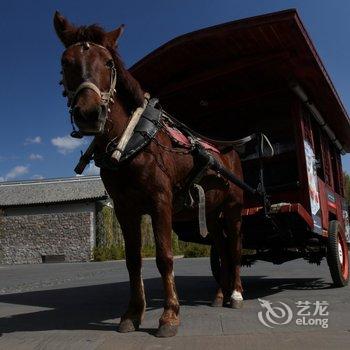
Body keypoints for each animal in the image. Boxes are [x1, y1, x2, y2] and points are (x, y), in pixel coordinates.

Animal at [53, 12, 243, 338]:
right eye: (66, 62)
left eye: (109, 63)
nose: (89, 113)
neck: (131, 140)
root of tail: (226, 150)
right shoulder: (124, 209)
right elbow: (133, 261)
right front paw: (133, 313)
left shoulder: (160, 202)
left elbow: (164, 257)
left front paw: (169, 315)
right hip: (213, 211)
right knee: (221, 246)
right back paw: (220, 294)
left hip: (234, 208)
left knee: (235, 247)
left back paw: (236, 294)